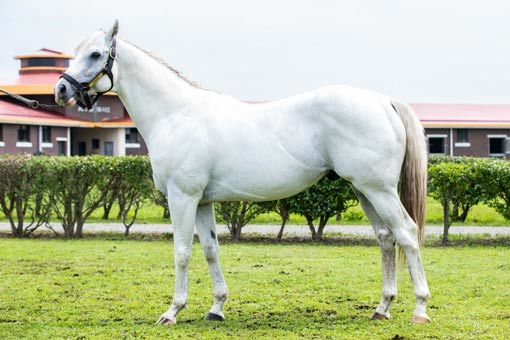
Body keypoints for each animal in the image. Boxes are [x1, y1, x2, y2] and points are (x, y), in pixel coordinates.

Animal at [55, 21, 430, 324]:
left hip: (378, 189)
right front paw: (216, 308)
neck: (176, 114)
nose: (61, 89)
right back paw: (382, 308)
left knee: (407, 233)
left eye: (95, 54)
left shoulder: (182, 198)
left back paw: (420, 309)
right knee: (386, 237)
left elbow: (182, 251)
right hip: (363, 190)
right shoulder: (202, 202)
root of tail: (382, 101)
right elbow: (210, 249)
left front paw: (172, 311)